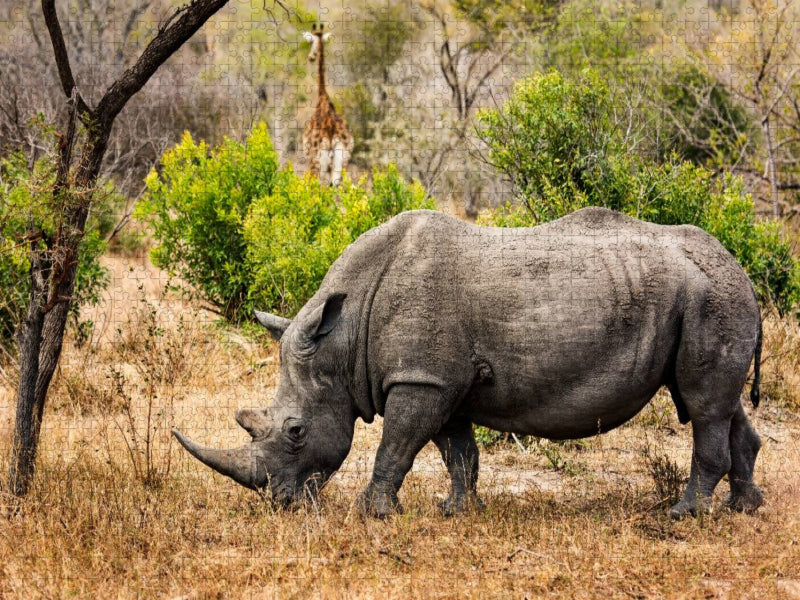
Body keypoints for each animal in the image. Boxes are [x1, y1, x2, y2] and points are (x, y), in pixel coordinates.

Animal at [302, 24, 353, 186]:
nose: (311, 57)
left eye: (310, 41)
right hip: (343, 161)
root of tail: (331, 135)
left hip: (317, 163)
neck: (323, 96)